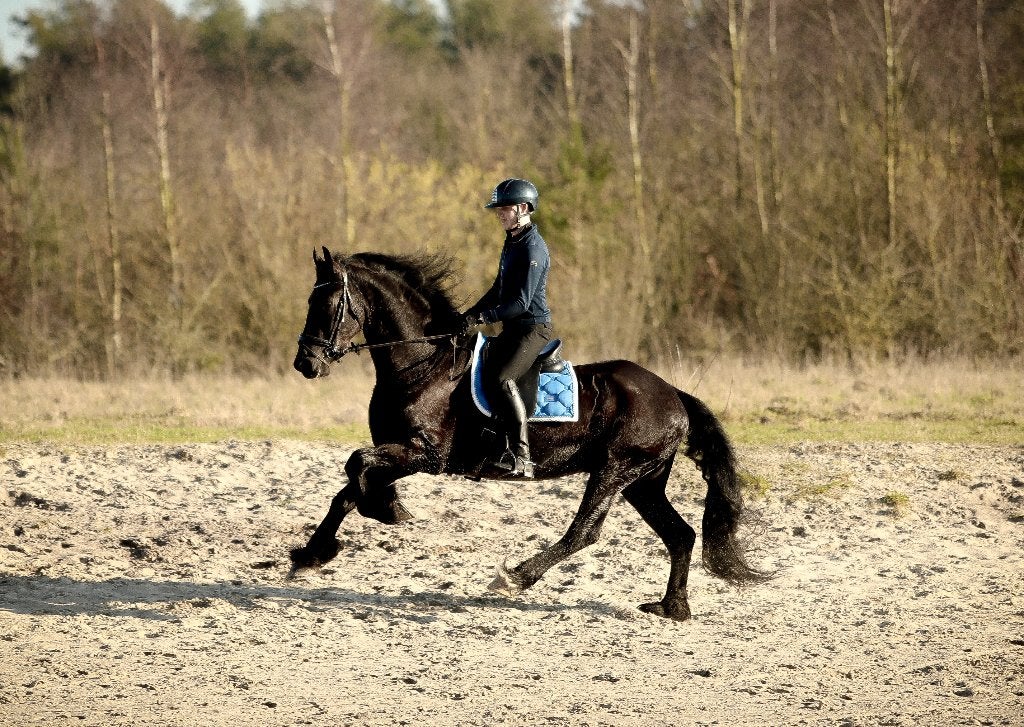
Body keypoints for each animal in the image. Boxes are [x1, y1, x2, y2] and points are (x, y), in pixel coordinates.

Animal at [289, 247, 766, 620]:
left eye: (329, 305)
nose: (305, 365)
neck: (422, 364)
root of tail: (672, 394)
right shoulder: (402, 452)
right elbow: (349, 487)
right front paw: (313, 552)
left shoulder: (428, 455)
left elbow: (357, 466)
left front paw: (386, 510)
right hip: (643, 482)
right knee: (680, 535)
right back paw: (672, 608)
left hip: (616, 469)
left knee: (584, 533)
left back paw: (516, 576)